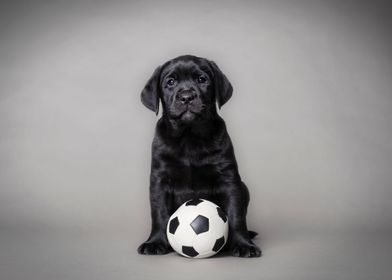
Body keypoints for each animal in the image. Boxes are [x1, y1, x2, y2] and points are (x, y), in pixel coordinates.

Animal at [136, 55, 262, 258]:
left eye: (202, 79)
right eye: (170, 82)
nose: (186, 96)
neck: (189, 136)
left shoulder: (229, 179)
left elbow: (236, 215)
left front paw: (244, 244)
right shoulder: (159, 180)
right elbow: (159, 213)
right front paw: (154, 242)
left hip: (245, 188)